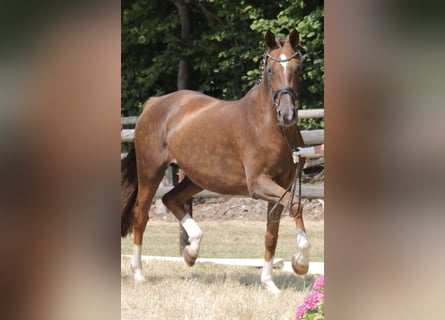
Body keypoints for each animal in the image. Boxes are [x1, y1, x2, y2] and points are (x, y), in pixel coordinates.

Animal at [119, 30, 310, 292]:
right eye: (271, 69)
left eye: (297, 67)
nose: (287, 114)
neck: (270, 126)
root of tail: (154, 104)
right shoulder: (258, 184)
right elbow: (297, 205)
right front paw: (301, 262)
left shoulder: (283, 186)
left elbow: (272, 234)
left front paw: (269, 283)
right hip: (151, 171)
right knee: (141, 214)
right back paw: (139, 273)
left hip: (197, 178)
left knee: (171, 199)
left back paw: (191, 251)